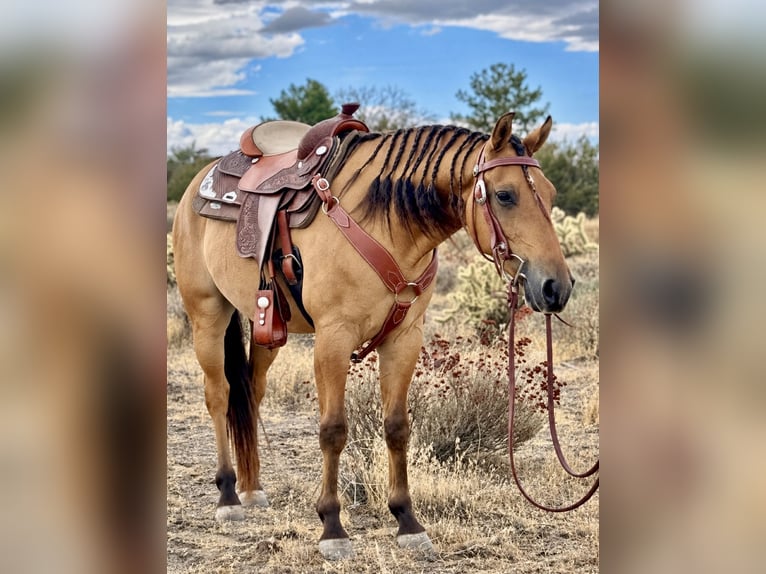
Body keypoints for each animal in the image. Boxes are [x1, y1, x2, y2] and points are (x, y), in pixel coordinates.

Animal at [171, 112, 573, 559]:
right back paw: (227, 496)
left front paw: (407, 521)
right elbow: (333, 431)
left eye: (551, 194)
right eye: (505, 195)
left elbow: (397, 427)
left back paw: (252, 488)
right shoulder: (333, 339)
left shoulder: (405, 339)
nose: (556, 287)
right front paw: (332, 527)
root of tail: (200, 179)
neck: (387, 225)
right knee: (219, 395)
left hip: (267, 327)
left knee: (251, 393)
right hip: (207, 314)